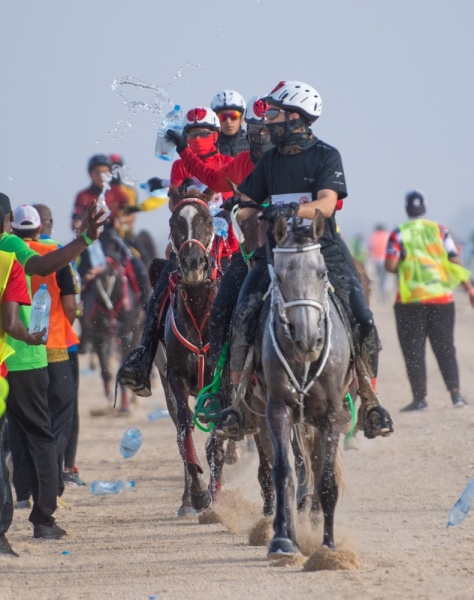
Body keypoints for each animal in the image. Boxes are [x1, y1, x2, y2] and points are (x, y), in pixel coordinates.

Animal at [254, 211, 354, 556]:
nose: (308, 338)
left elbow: (327, 480)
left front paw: (328, 546)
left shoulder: (333, 415)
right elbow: (283, 472)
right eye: (280, 276)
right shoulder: (278, 409)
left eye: (322, 273)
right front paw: (283, 538)